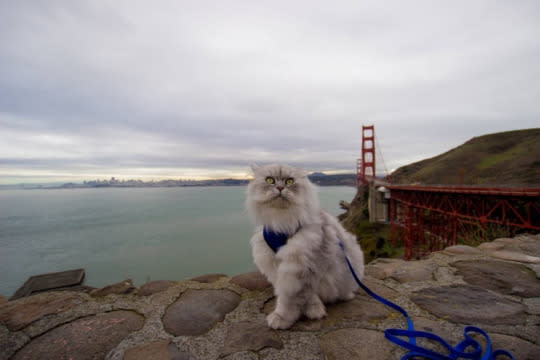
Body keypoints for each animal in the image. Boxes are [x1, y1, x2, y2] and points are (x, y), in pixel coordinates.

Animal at [247, 163, 364, 330]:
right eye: (270, 180)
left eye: (289, 181)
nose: (280, 187)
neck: (282, 222)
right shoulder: (278, 266)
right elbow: (288, 294)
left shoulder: (299, 268)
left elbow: (290, 299)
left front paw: (284, 318)